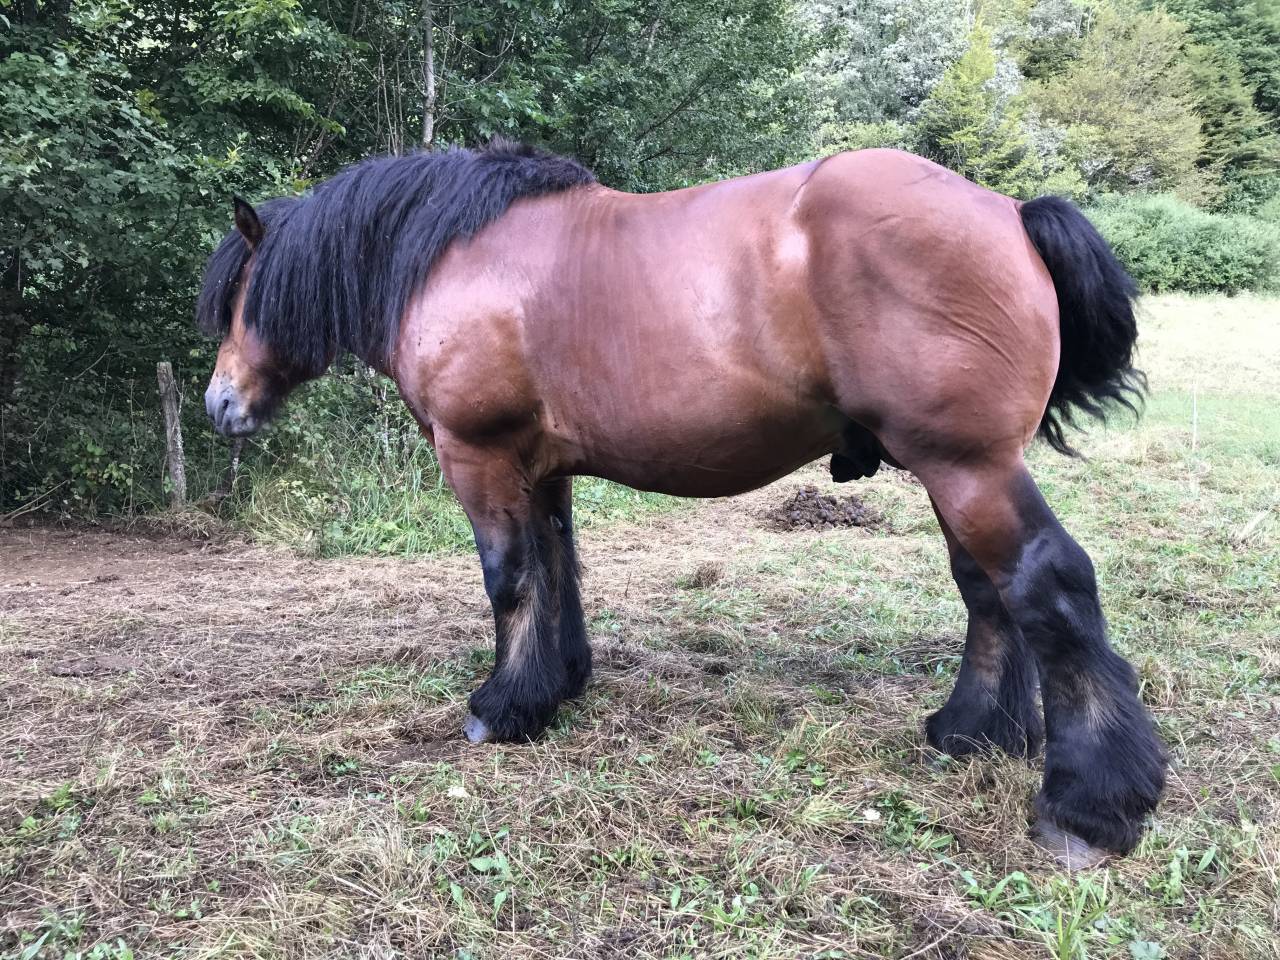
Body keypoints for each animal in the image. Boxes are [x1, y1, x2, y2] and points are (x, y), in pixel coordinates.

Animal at [197, 141, 1165, 866]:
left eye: (239, 297)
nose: (219, 405)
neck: (454, 259)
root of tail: (1009, 212)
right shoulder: (543, 468)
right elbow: (559, 569)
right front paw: (559, 685)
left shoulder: (479, 456)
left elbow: (510, 578)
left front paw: (502, 707)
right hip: (956, 472)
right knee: (988, 592)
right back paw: (972, 734)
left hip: (965, 467)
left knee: (1045, 582)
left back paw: (1087, 806)